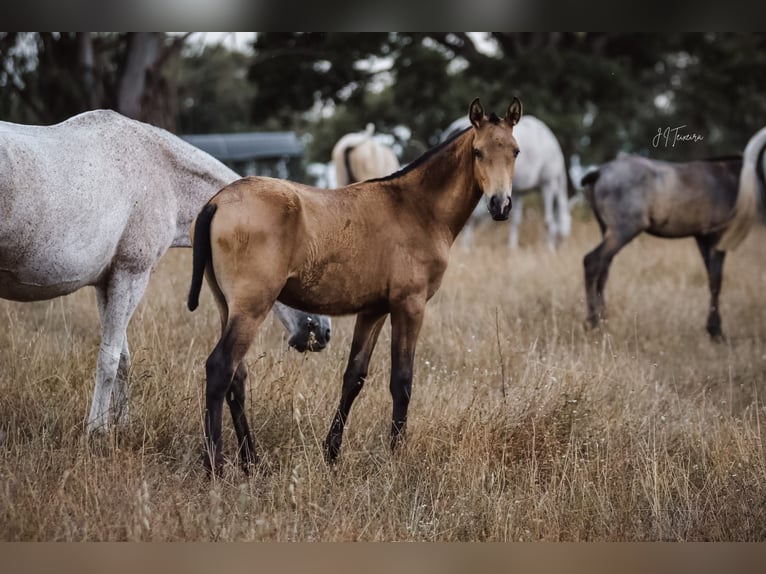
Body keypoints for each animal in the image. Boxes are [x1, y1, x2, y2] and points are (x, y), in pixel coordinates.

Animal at [0, 111, 332, 436]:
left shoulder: (108, 283)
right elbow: (109, 359)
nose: (324, 332)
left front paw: (120, 425)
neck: (164, 174)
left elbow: (122, 358)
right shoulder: (131, 275)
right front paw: (97, 431)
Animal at [189, 98, 524, 476]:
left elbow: (354, 378)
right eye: (479, 152)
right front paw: (396, 456)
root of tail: (217, 202)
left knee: (236, 376)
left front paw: (331, 454)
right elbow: (402, 381)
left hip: (227, 307)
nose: (500, 205)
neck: (417, 208)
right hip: (251, 307)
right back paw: (215, 465)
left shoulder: (373, 310)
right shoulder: (410, 305)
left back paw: (251, 461)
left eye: (515, 151)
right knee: (220, 368)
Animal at [444, 115, 568, 250]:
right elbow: (548, 221)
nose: (562, 245)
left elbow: (515, 220)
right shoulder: (548, 184)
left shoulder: (518, 191)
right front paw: (549, 249)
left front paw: (512, 248)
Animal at [584, 154, 744, 342]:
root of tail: (599, 172)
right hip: (623, 230)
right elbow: (716, 281)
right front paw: (717, 332)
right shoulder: (716, 236)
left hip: (607, 230)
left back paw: (602, 321)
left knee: (603, 269)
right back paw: (593, 322)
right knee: (592, 261)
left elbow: (712, 278)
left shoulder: (702, 237)